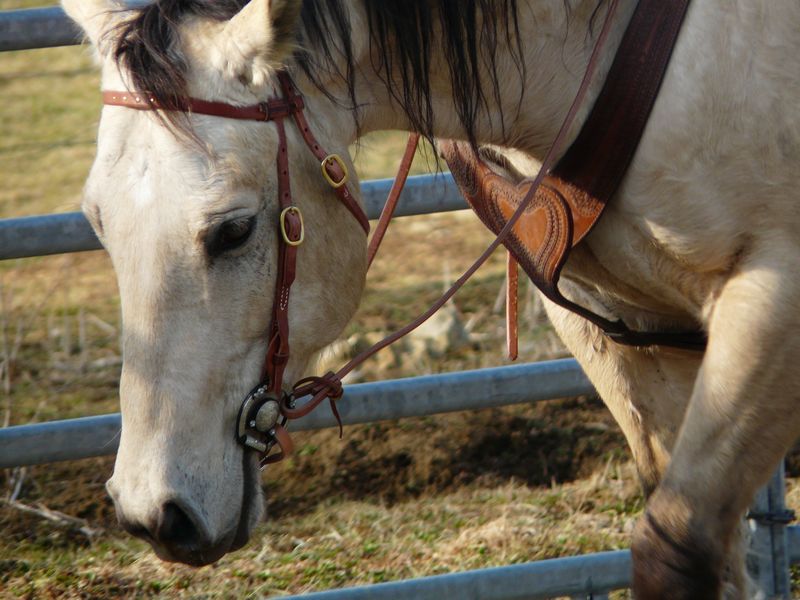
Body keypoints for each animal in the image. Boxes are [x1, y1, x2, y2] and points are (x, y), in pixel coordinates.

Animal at [61, 0, 800, 597]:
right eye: (97, 220)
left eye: (234, 230)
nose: (154, 512)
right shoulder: (624, 336)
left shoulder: (771, 308)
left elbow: (676, 550)